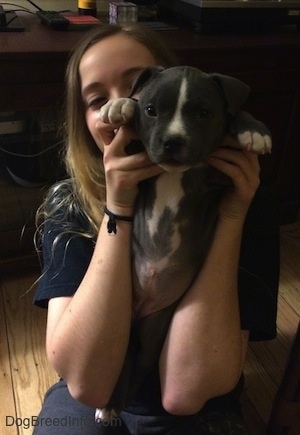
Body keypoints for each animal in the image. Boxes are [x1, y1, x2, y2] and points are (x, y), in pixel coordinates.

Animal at [96, 67, 272, 422]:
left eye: (203, 113)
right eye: (151, 110)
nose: (172, 140)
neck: (176, 174)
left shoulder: (218, 183)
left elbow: (235, 112)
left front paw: (254, 131)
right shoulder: (137, 162)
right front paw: (121, 105)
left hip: (153, 328)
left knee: (140, 364)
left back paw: (117, 403)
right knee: (125, 361)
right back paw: (109, 405)